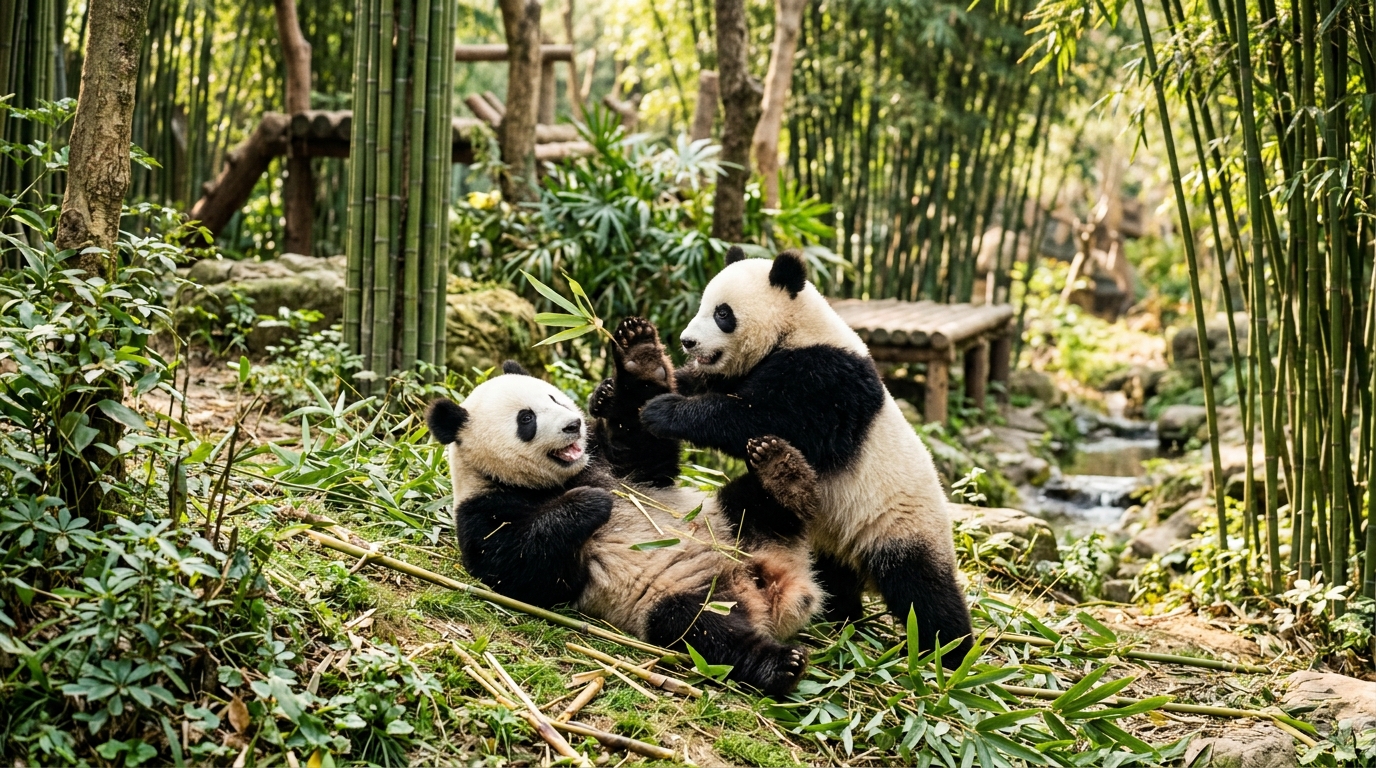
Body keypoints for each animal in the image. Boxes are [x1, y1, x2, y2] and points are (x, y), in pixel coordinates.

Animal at [426, 320, 823, 695]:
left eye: (555, 398)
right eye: (527, 419)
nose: (572, 425)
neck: (552, 480)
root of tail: (778, 588)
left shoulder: (612, 462)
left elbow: (644, 448)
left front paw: (639, 355)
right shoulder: (484, 508)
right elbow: (524, 571)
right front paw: (591, 503)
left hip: (727, 521)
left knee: (751, 504)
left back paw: (780, 472)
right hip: (689, 596)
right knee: (702, 629)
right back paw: (780, 664)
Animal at [639, 248, 975, 663]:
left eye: (723, 313)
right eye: (703, 305)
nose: (687, 342)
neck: (795, 328)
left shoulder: (827, 378)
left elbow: (772, 419)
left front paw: (665, 411)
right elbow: (714, 385)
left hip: (901, 524)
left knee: (923, 589)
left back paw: (951, 652)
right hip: (832, 535)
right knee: (838, 576)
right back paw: (843, 617)